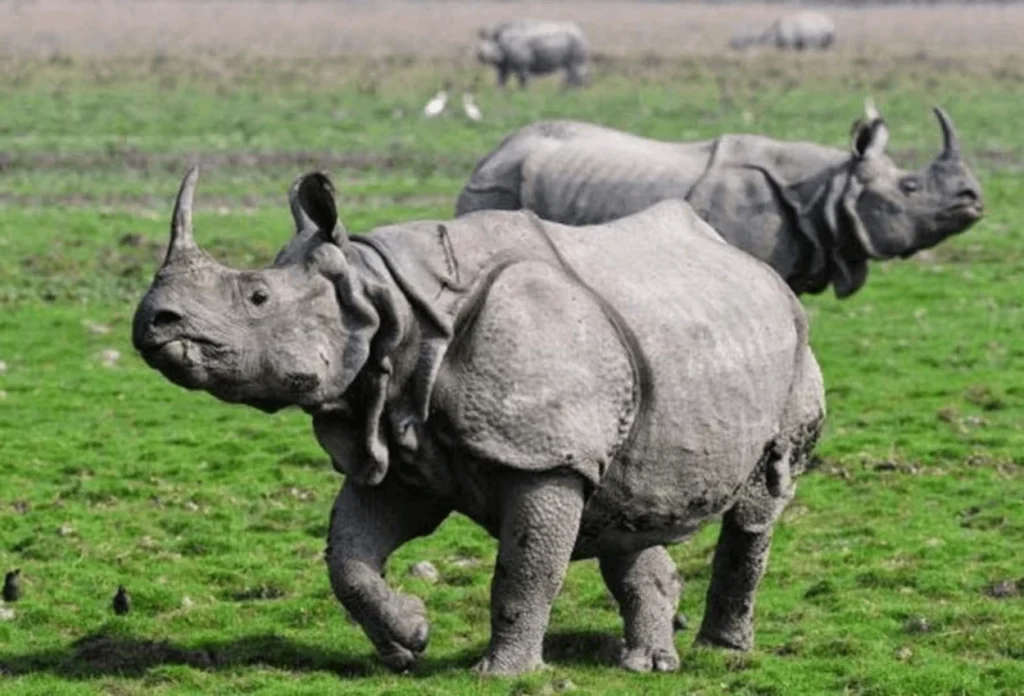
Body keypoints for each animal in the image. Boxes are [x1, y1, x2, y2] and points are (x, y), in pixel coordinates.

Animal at [133, 168, 825, 675]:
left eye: (257, 298)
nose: (153, 323)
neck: (383, 300)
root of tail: (759, 267)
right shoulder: (400, 442)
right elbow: (347, 558)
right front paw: (409, 638)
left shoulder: (545, 456)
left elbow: (524, 568)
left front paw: (502, 675)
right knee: (627, 505)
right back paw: (648, 665)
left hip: (796, 346)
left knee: (757, 504)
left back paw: (721, 653)